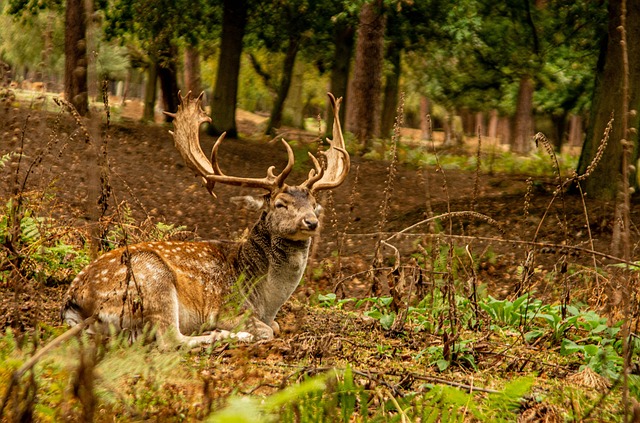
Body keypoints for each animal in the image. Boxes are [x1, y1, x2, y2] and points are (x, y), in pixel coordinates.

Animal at [60, 92, 350, 348]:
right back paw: (222, 335)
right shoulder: (229, 308)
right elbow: (267, 331)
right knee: (169, 340)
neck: (266, 302)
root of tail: (74, 298)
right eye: (281, 204)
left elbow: (276, 327)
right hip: (154, 282)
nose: (311, 222)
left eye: (314, 204)